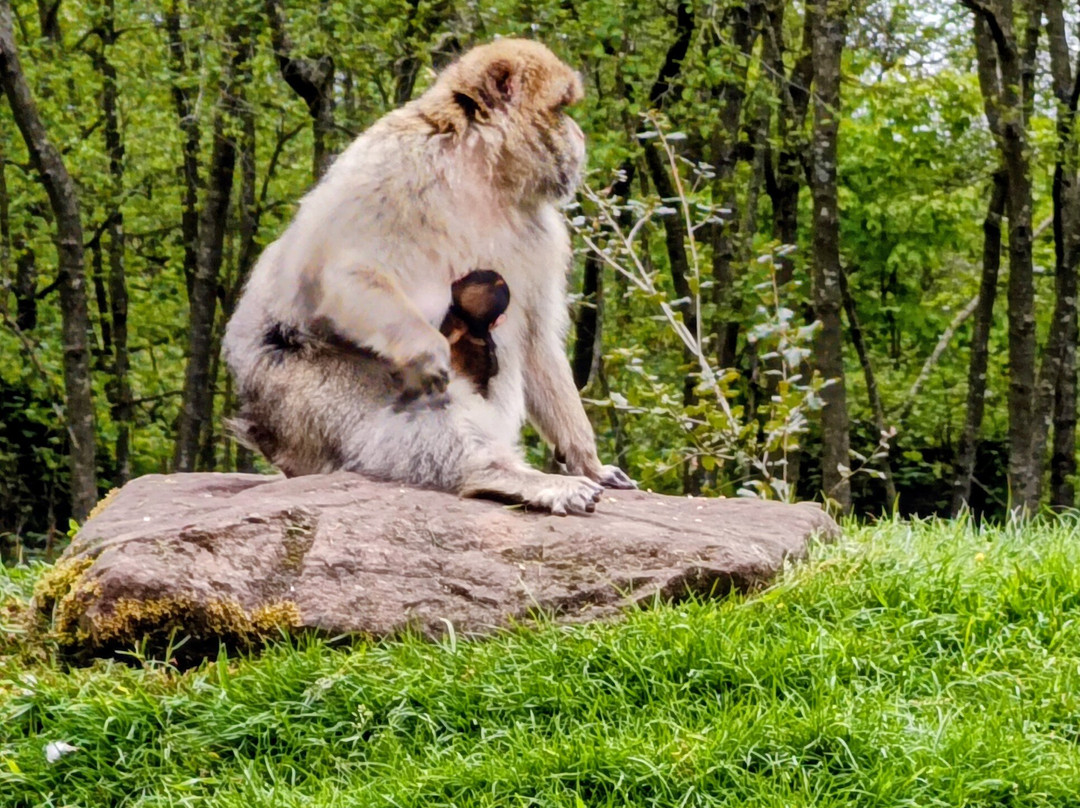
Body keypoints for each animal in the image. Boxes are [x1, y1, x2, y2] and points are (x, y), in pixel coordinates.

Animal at [223, 39, 636, 515]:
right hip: (290, 394)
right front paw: (426, 349)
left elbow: (536, 340)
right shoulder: (395, 159)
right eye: (561, 108)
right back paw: (500, 474)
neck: (481, 169)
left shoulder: (542, 234)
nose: (580, 136)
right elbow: (333, 270)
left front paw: (587, 460)